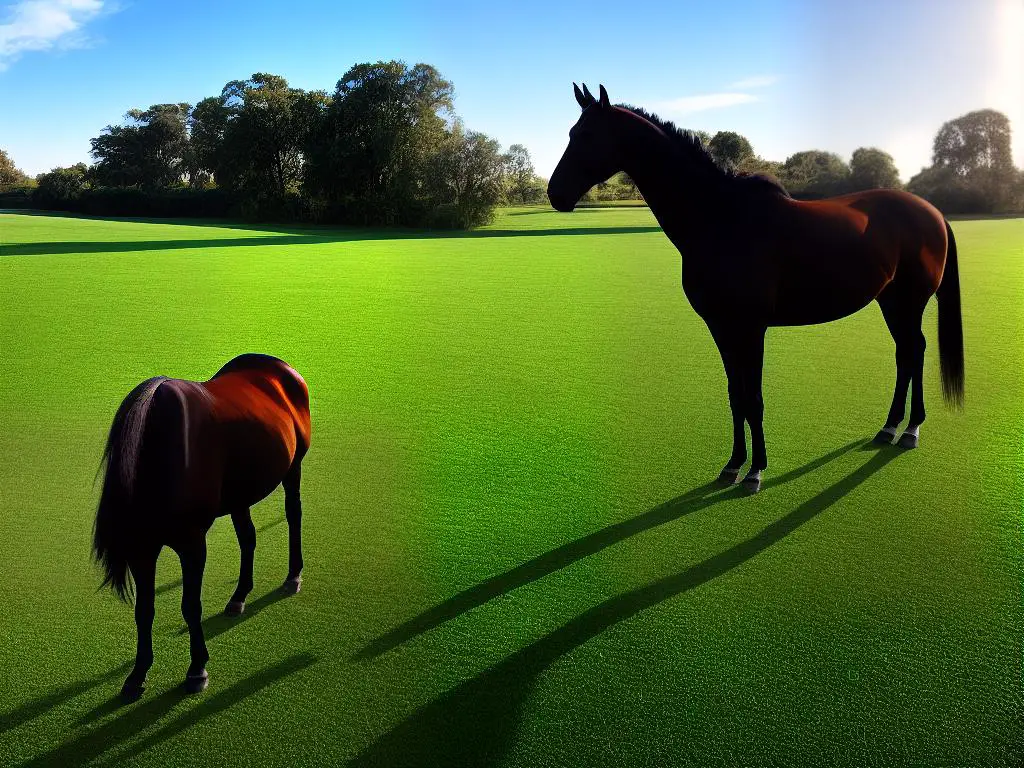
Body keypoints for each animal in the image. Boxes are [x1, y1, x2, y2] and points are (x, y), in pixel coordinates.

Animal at [93, 352, 309, 700]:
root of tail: (279, 366)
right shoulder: (143, 551)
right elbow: (144, 610)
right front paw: (137, 674)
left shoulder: (192, 544)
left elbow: (190, 606)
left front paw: (197, 669)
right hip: (239, 495)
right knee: (247, 537)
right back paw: (239, 596)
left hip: (293, 468)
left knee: (293, 514)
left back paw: (293, 576)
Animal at [548, 83, 962, 493]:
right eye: (571, 133)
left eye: (587, 135)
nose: (554, 194)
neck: (721, 218)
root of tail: (933, 212)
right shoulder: (721, 327)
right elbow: (737, 396)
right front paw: (733, 464)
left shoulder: (751, 328)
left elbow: (755, 399)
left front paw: (756, 470)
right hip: (890, 301)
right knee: (906, 353)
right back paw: (890, 427)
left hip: (909, 301)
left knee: (915, 351)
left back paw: (910, 429)